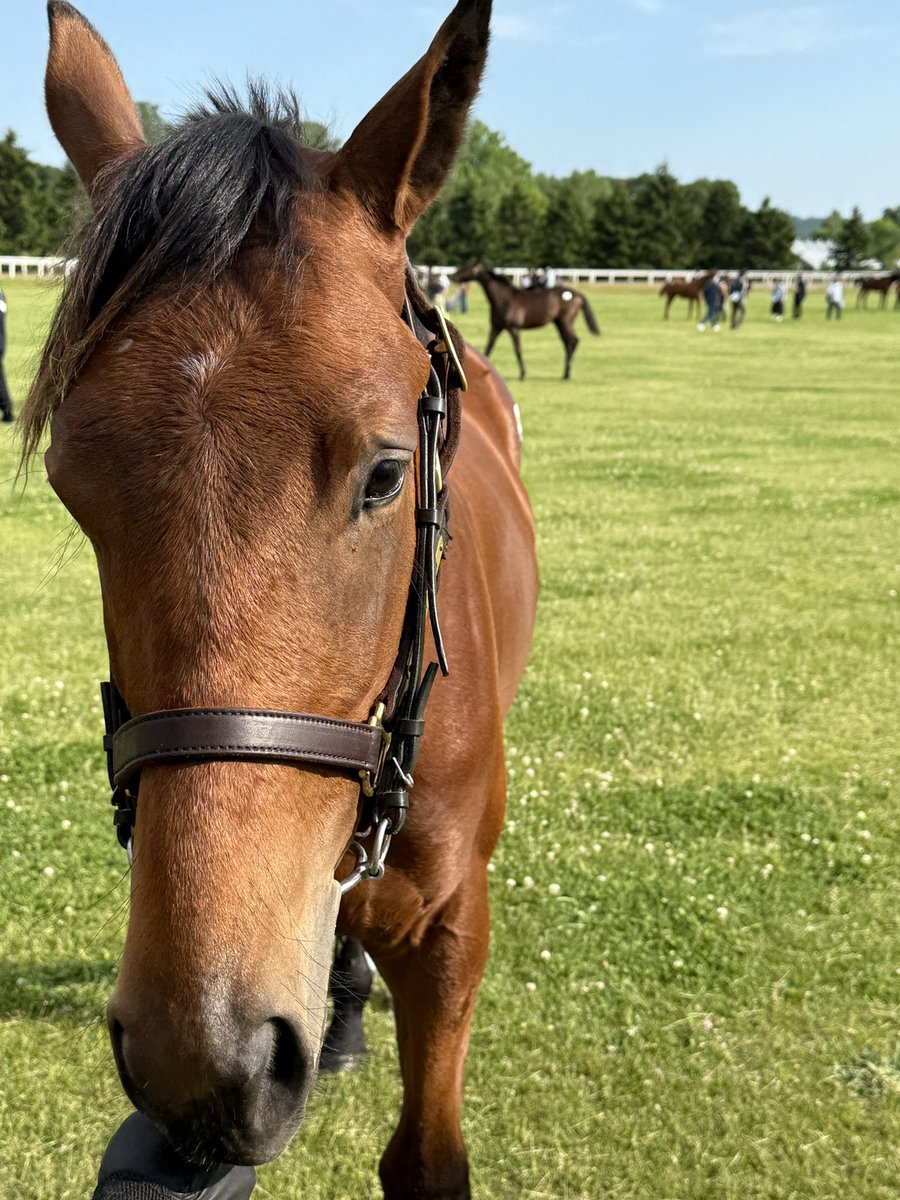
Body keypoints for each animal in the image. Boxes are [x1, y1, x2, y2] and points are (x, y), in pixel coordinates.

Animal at [454, 261, 600, 381]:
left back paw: (567, 374)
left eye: (467, 267)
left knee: (573, 341)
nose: (454, 276)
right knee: (568, 343)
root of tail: (577, 295)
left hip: (565, 322)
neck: (504, 299)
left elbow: (517, 350)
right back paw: (565, 373)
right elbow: (488, 348)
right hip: (559, 323)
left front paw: (522, 374)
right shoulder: (496, 327)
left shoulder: (514, 329)